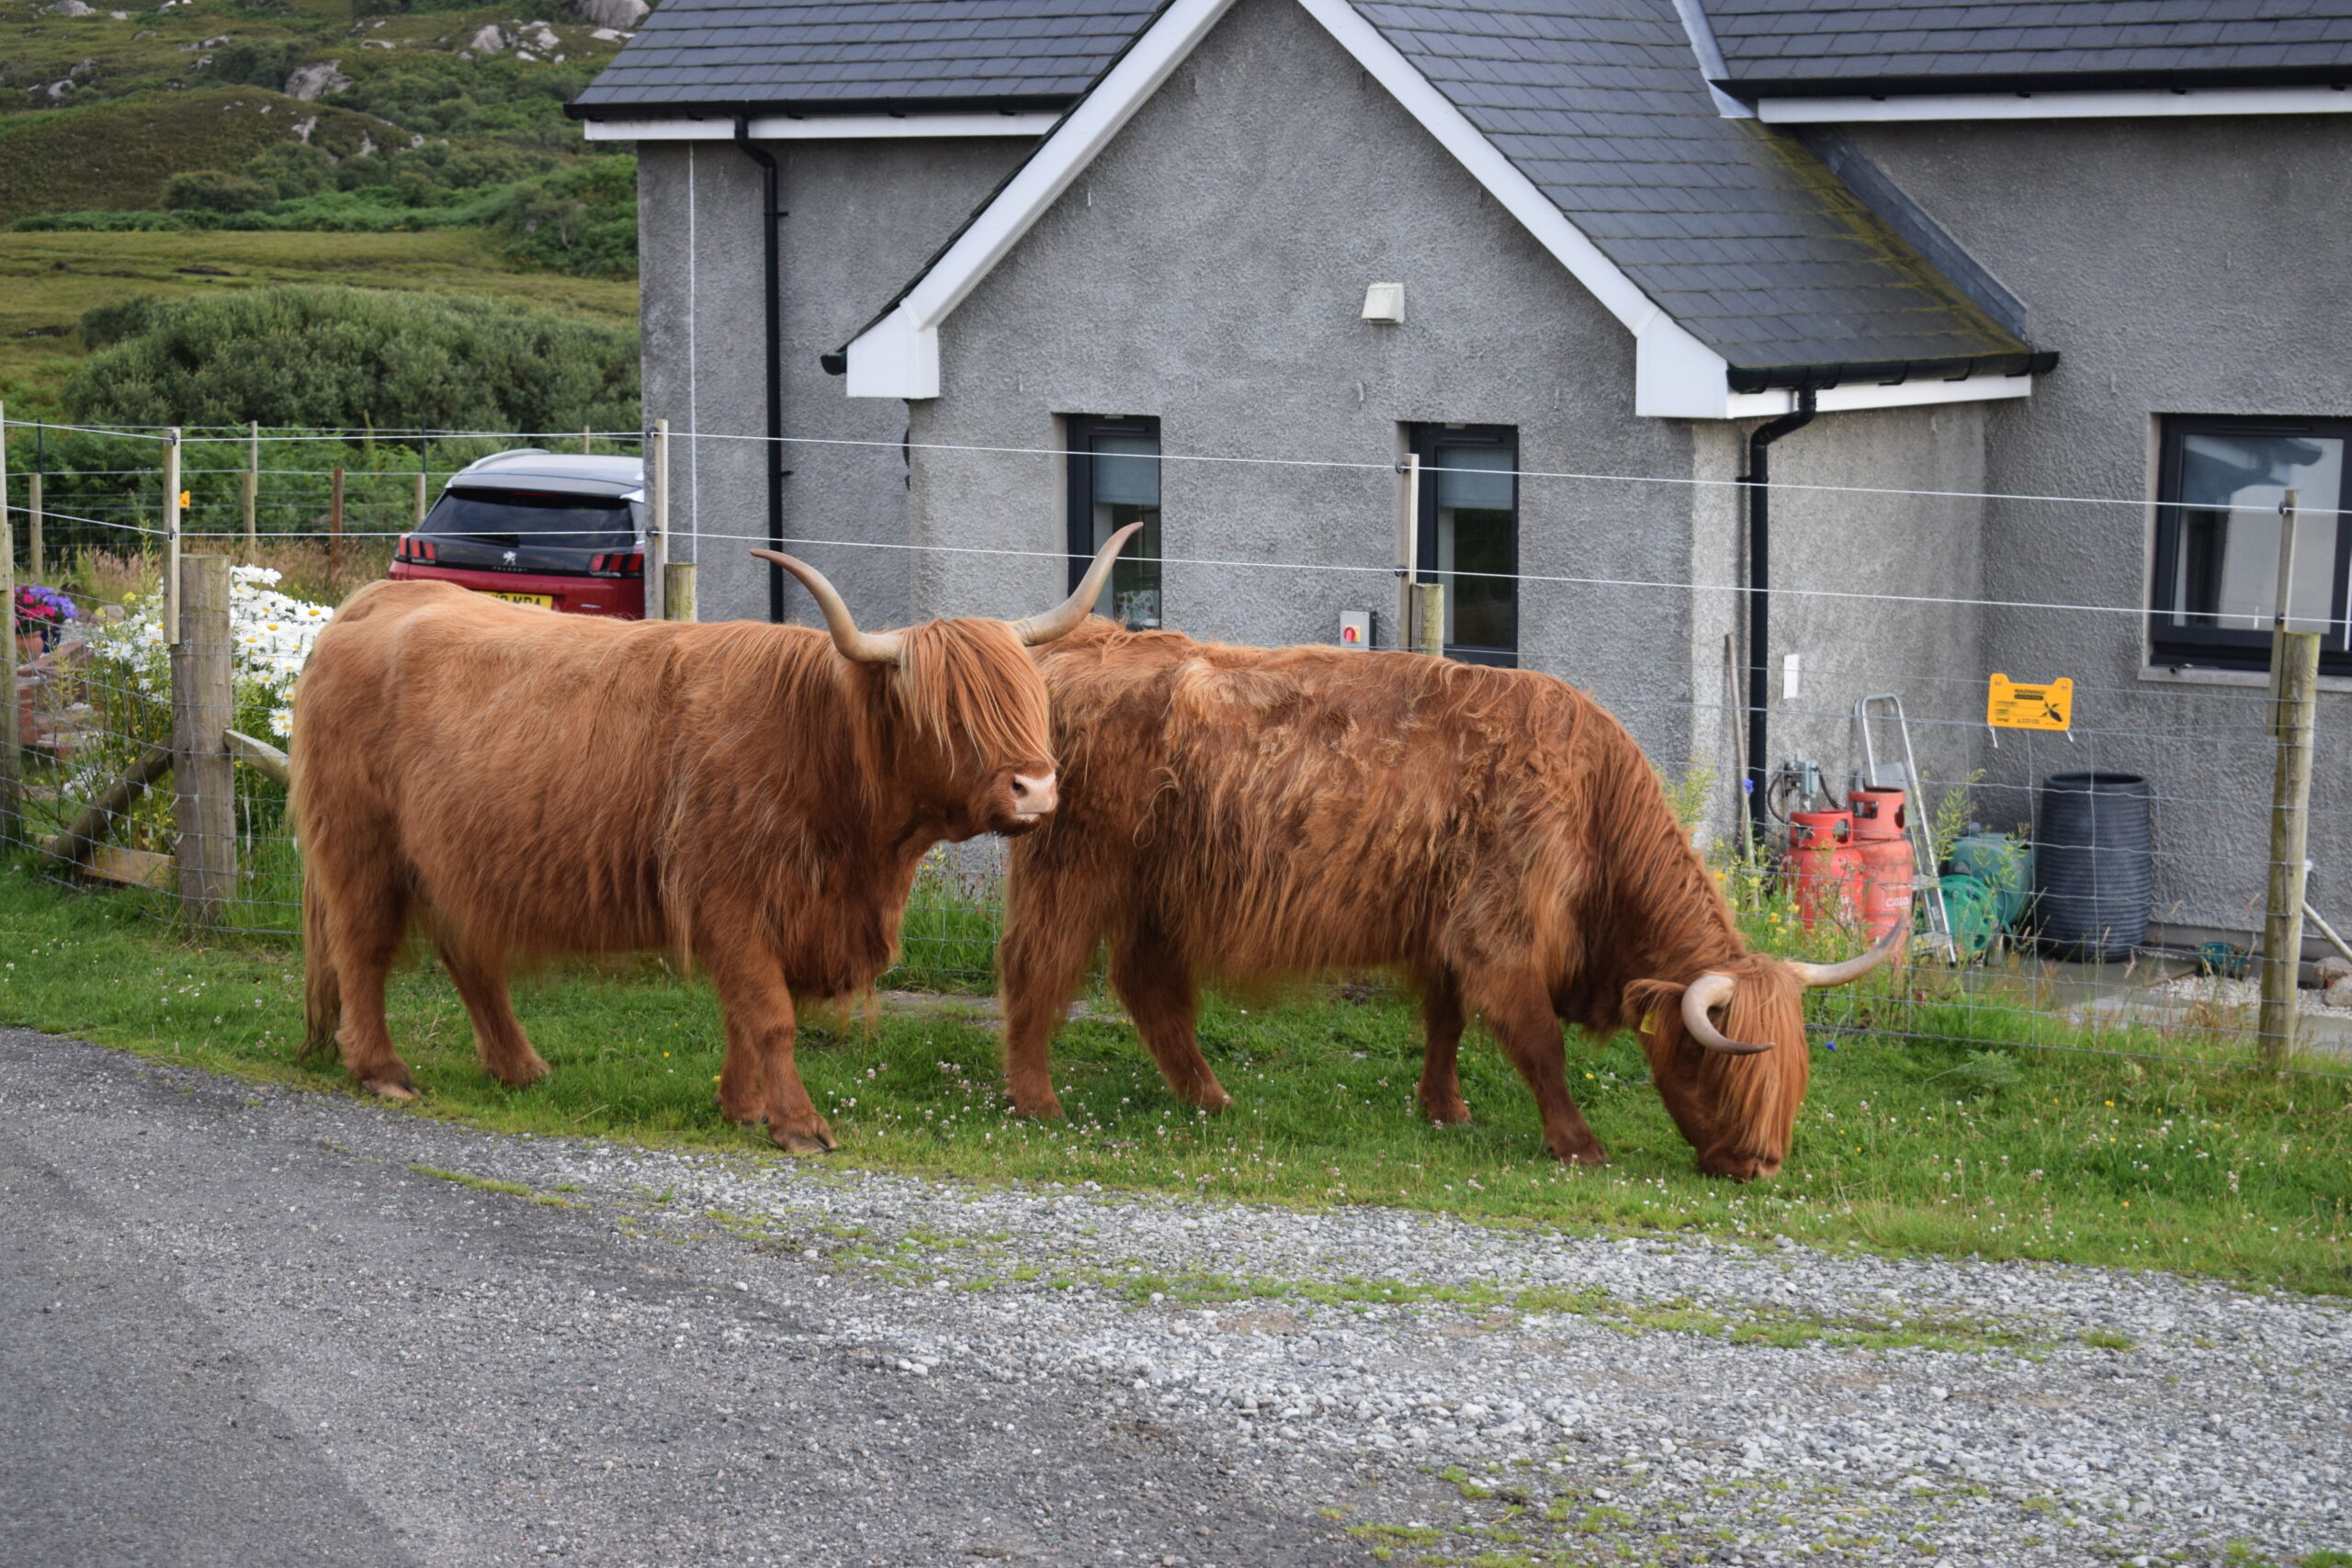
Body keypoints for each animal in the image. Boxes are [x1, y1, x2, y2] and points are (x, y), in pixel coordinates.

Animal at [292, 527, 1139, 1152]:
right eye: (951, 715)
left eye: (1027, 699)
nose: (1037, 789)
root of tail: (373, 601)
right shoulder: (729, 897)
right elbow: (769, 1014)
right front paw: (798, 1125)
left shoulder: (784, 911)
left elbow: (747, 1011)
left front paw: (742, 1106)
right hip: (361, 846)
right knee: (362, 948)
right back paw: (384, 1070)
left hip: (453, 860)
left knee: (468, 956)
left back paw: (521, 1067)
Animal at [998, 622, 1903, 1180]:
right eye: (1714, 1066)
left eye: (1790, 1078)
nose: (1757, 1165)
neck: (1592, 807)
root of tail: (1080, 645)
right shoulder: (1500, 932)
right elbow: (1538, 1042)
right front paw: (1579, 1144)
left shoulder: (1447, 925)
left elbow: (1446, 1020)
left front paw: (1445, 1109)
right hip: (1074, 869)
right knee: (1037, 970)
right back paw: (1038, 1103)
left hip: (1156, 892)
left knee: (1149, 990)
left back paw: (1210, 1097)